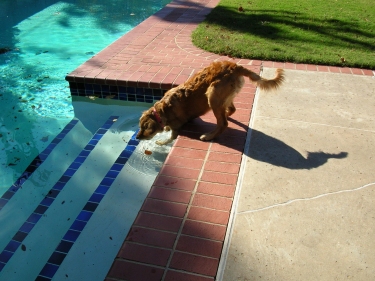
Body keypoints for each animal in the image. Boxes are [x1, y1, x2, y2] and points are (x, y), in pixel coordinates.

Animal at [136, 60, 284, 144]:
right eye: (140, 127)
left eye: (144, 128)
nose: (137, 137)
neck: (161, 110)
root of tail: (235, 66)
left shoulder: (176, 126)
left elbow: (170, 137)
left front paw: (161, 141)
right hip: (223, 96)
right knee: (230, 110)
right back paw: (225, 115)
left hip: (212, 94)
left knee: (223, 123)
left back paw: (209, 136)